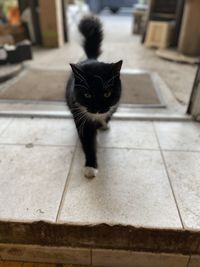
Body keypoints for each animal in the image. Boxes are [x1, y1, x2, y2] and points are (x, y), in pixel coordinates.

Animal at [66, 15, 122, 179]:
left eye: (107, 93)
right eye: (87, 94)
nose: (98, 108)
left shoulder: (114, 105)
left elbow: (107, 116)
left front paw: (103, 124)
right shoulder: (80, 115)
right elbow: (87, 142)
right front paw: (90, 167)